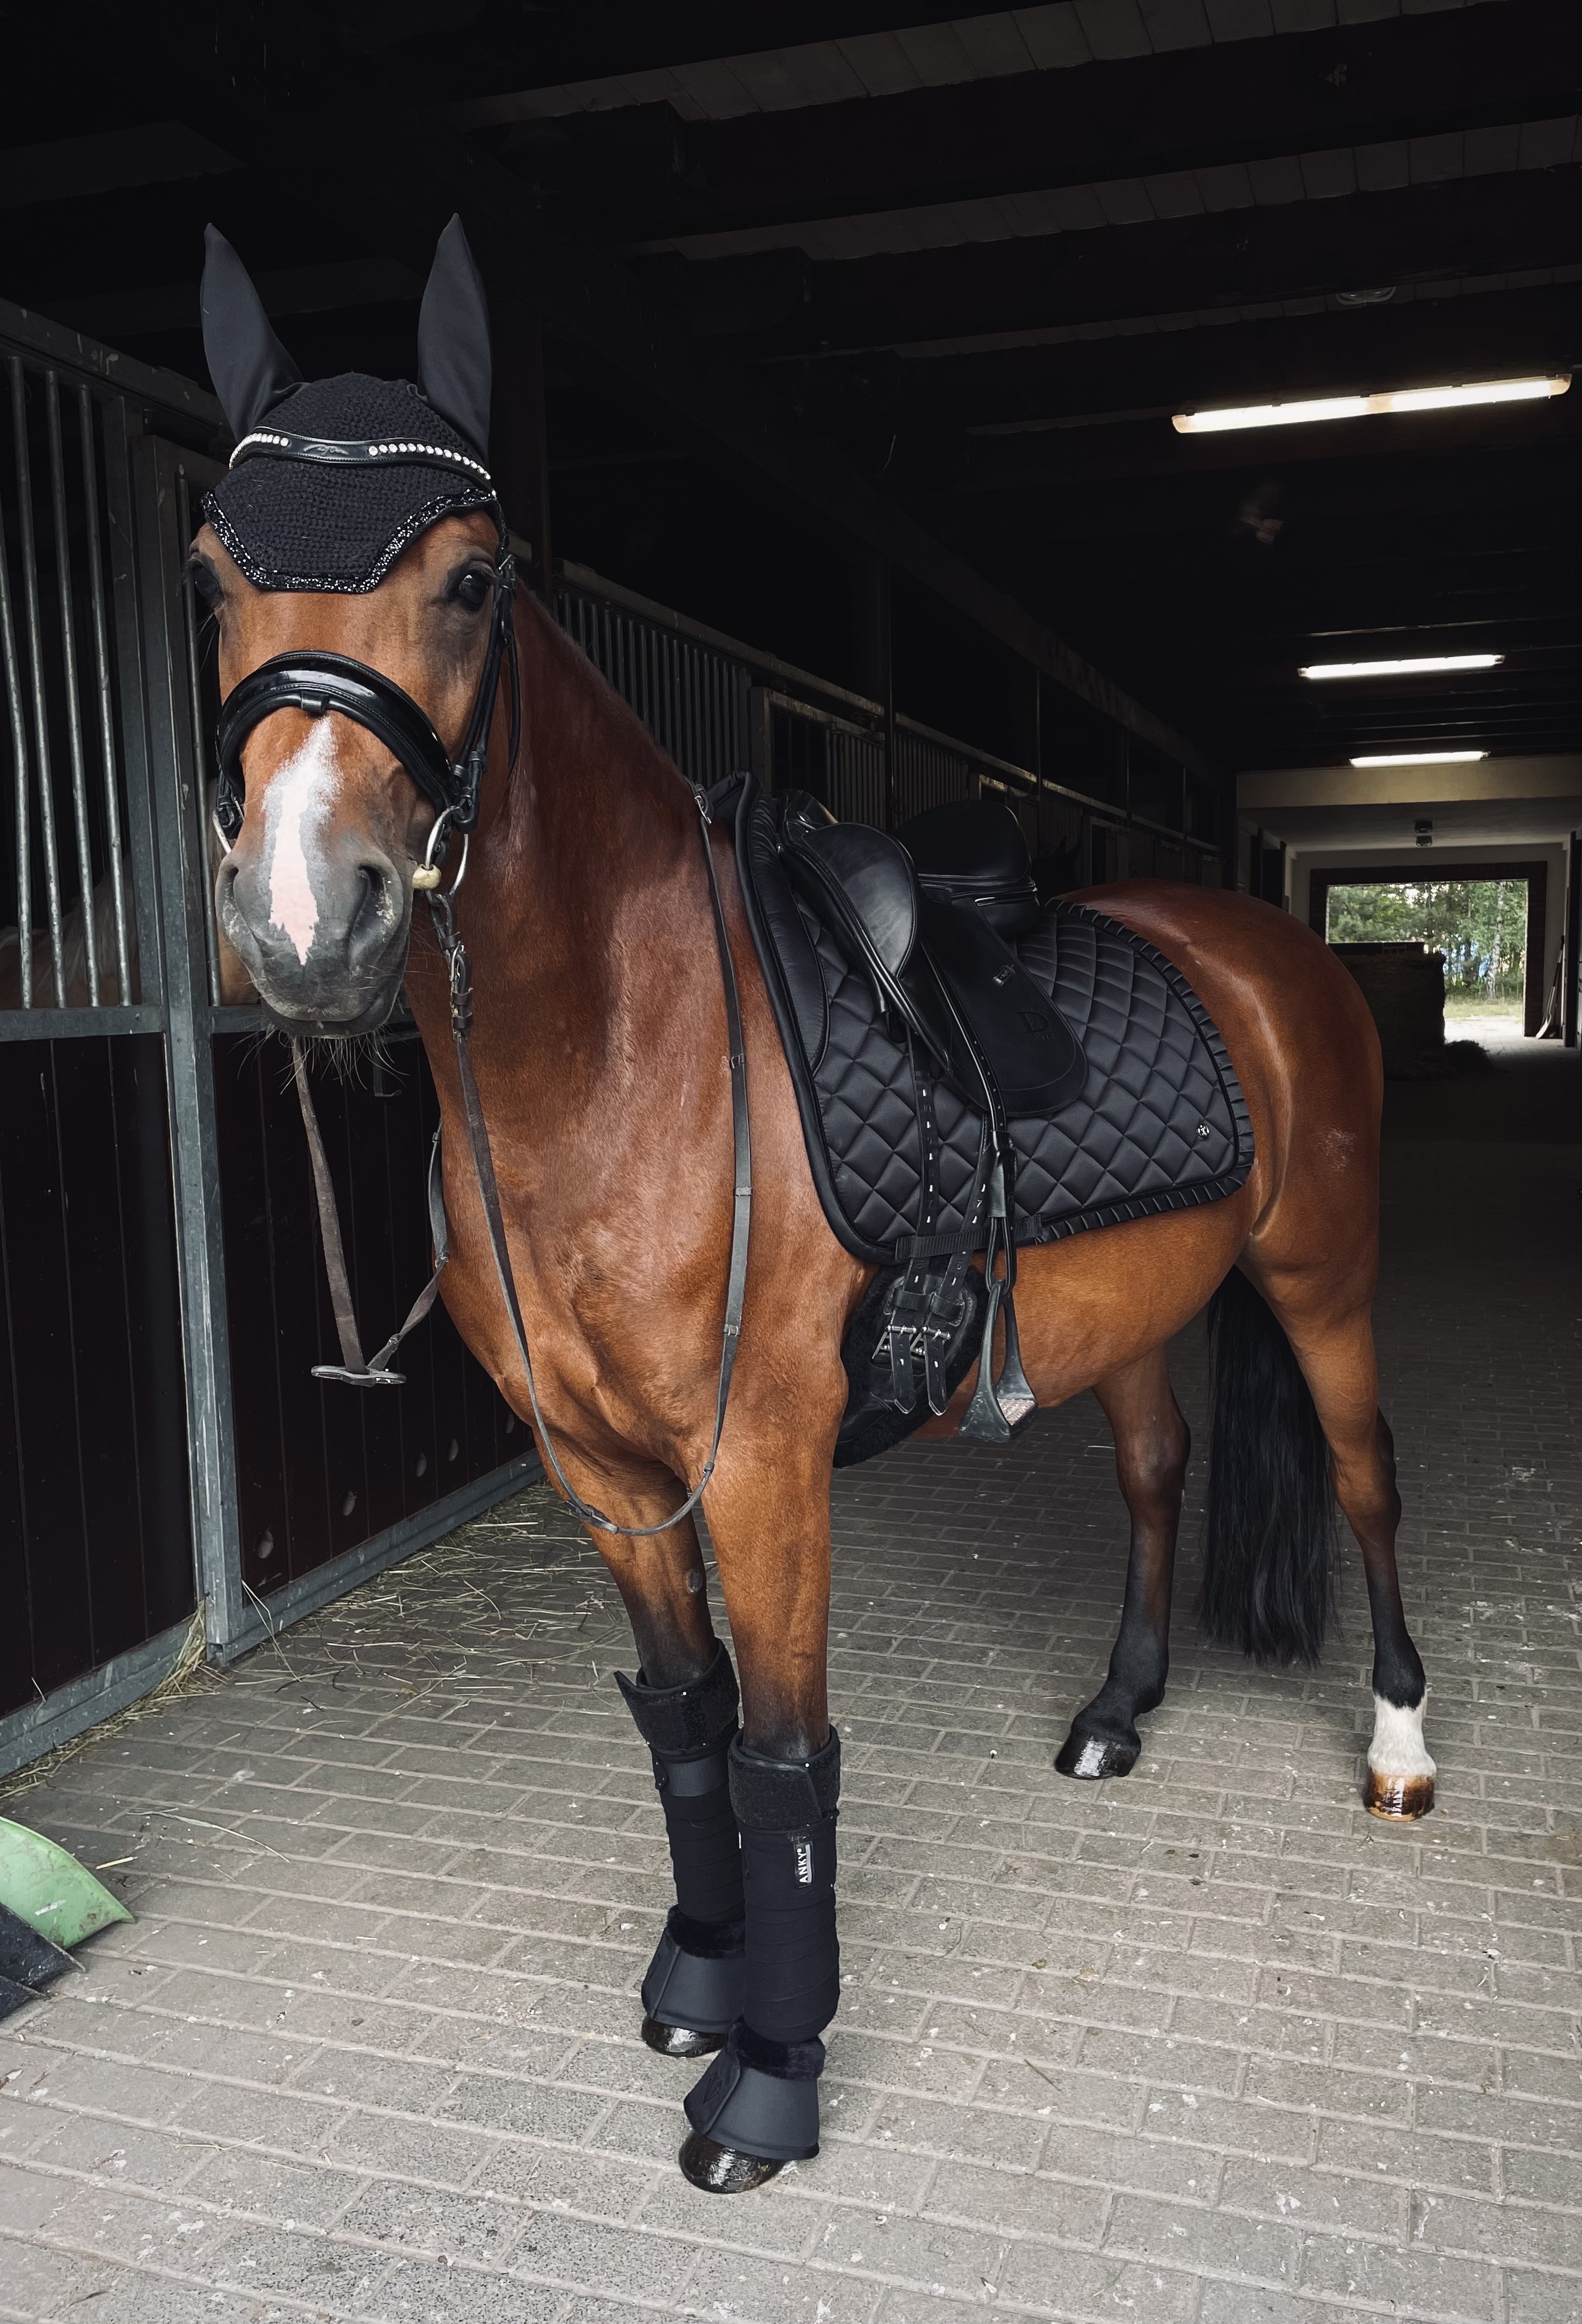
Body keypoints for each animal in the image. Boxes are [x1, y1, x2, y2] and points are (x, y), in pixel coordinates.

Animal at [196, 224, 1432, 2197]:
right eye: (210, 571)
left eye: (471, 580)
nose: (310, 921)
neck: (621, 1052)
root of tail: (1266, 950)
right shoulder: (601, 1472)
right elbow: (685, 1730)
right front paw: (698, 1984)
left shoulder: (760, 1466)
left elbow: (784, 1762)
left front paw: (767, 2084)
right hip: (1134, 1313)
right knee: (1154, 1471)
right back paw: (1116, 1710)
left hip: (1319, 1277)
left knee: (1370, 1478)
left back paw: (1395, 1744)